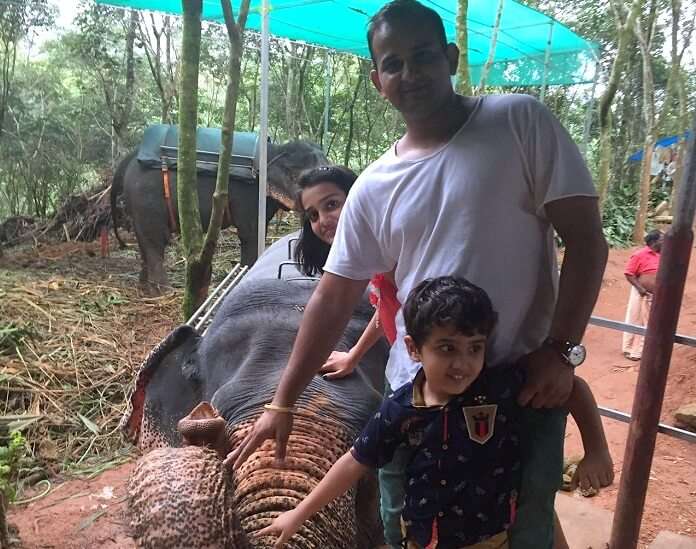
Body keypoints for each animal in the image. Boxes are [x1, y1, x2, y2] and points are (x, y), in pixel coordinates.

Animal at [111, 134, 326, 292]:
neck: (275, 150)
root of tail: (131, 156)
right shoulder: (249, 195)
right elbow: (250, 234)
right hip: (146, 199)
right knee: (155, 239)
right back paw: (163, 292)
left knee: (144, 240)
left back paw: (144, 287)